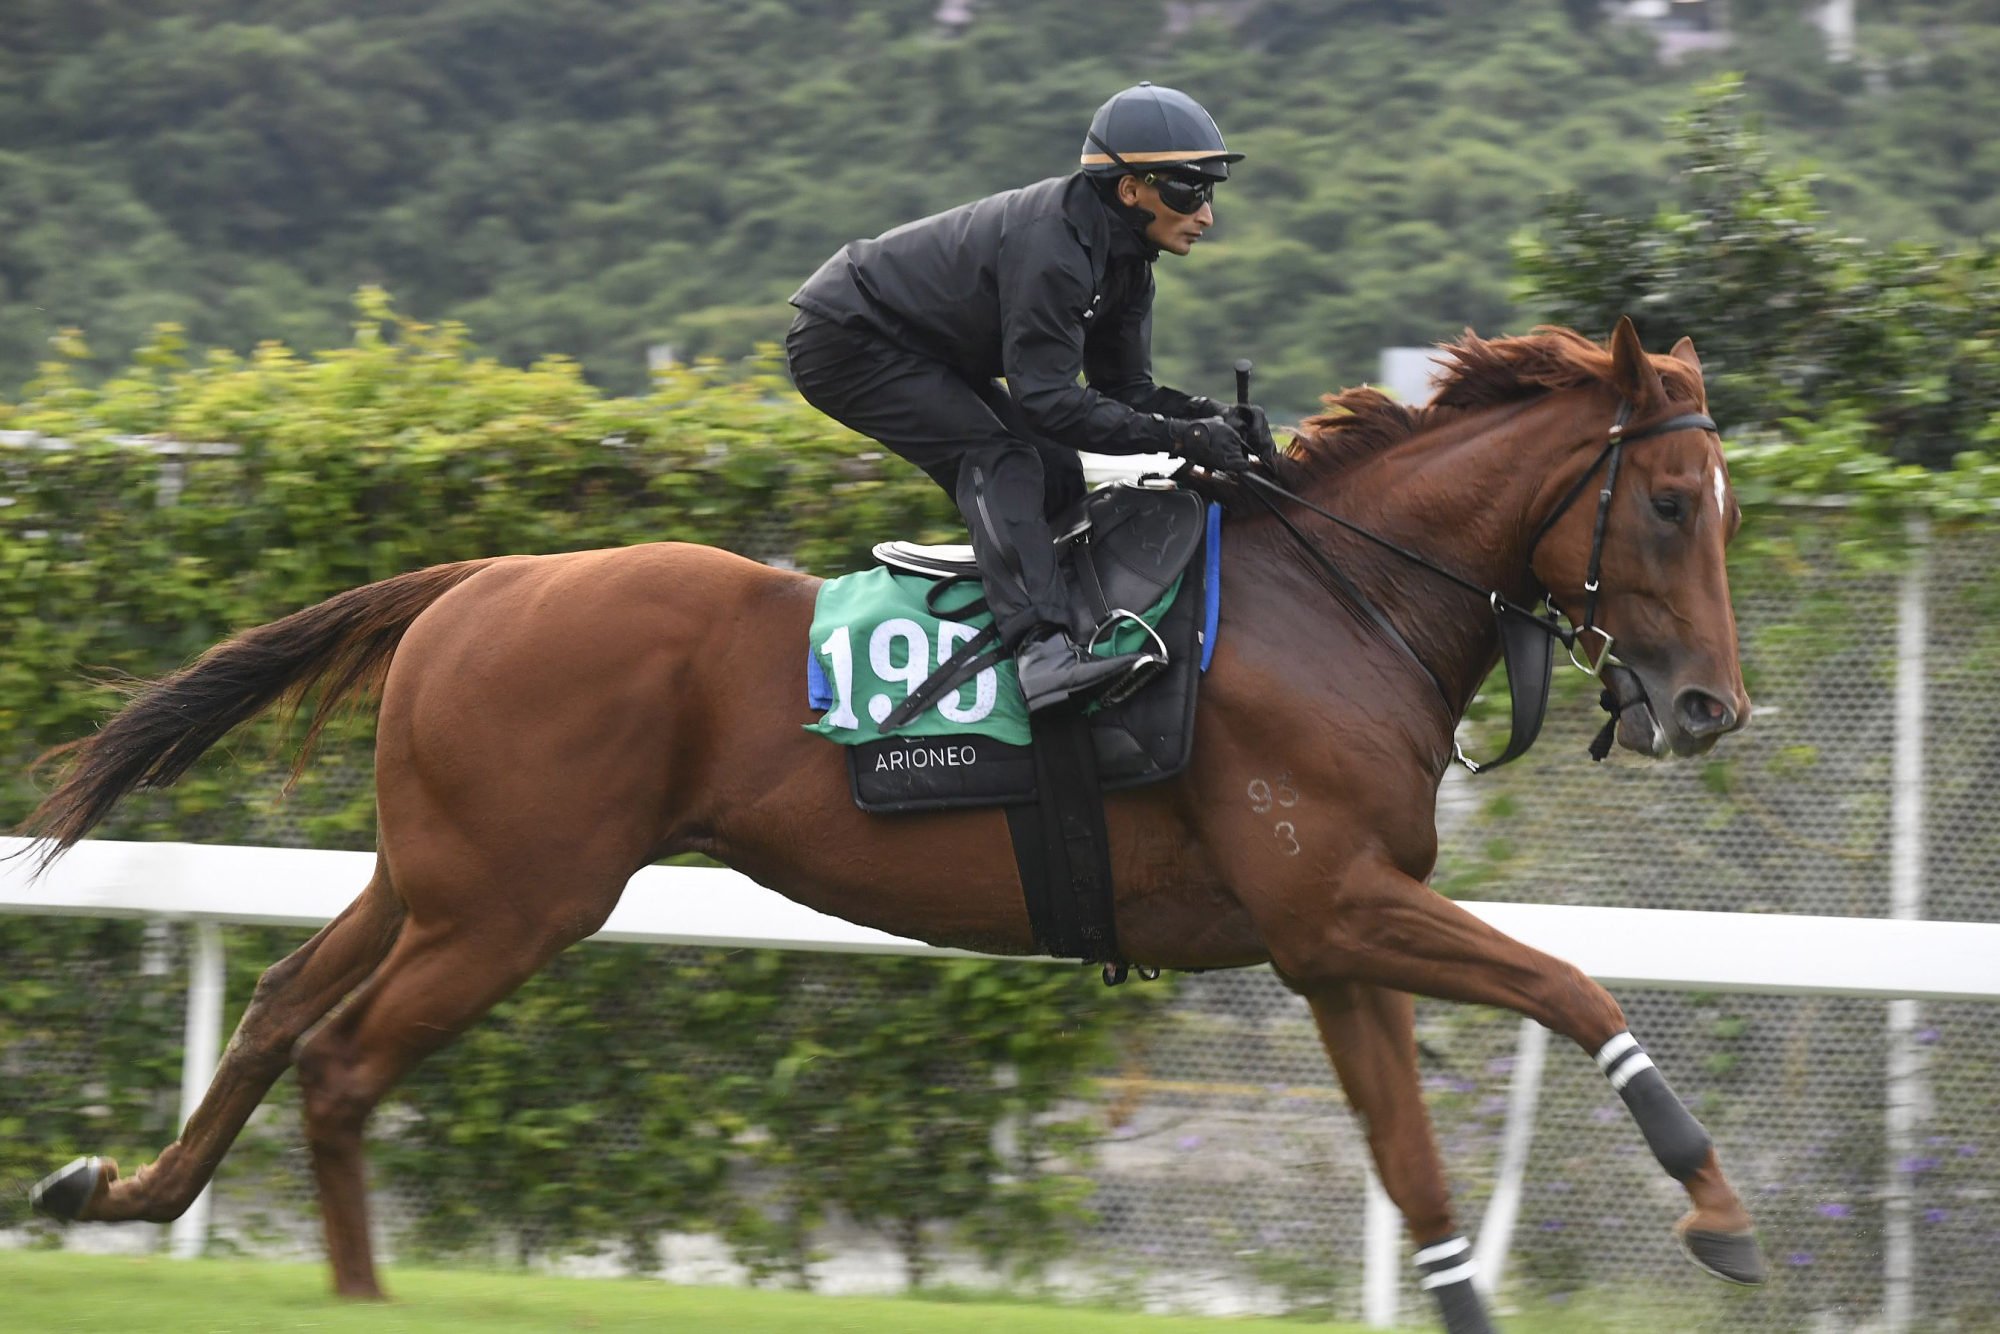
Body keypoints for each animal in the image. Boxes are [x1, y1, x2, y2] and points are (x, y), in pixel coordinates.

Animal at [15, 318, 1768, 1328]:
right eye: (1669, 502)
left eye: (1719, 505)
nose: (1707, 709)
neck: (1339, 603)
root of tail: (479, 578)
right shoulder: (1337, 903)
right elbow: (1575, 983)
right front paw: (1716, 1206)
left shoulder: (1326, 941)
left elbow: (1418, 1175)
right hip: (516, 904)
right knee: (341, 1062)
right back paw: (354, 1291)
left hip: (436, 877)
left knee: (277, 1006)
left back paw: (115, 1190)